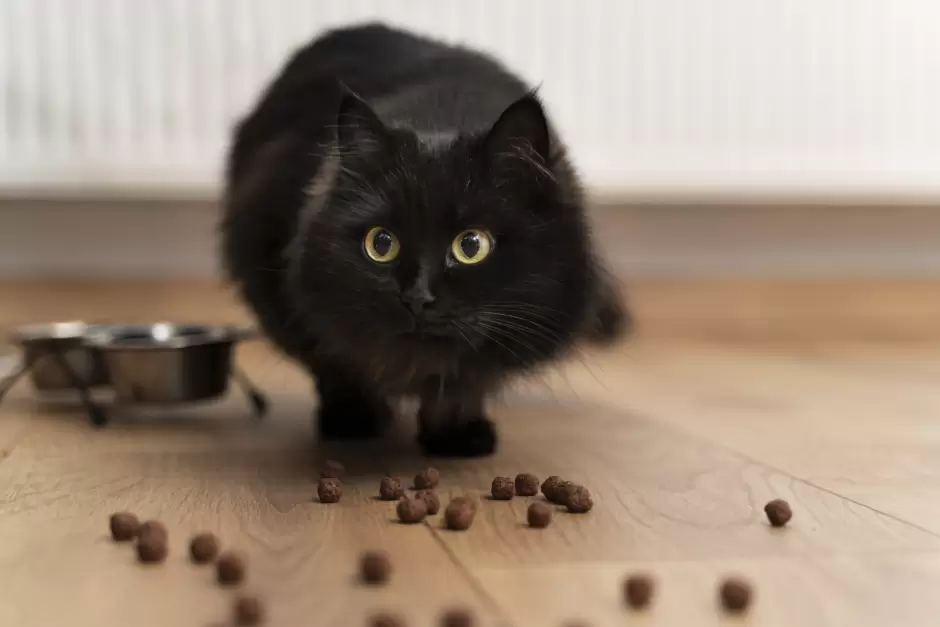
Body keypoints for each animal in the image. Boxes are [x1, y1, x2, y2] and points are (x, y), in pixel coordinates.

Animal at [223, 23, 628, 456]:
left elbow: (463, 380)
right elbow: (336, 362)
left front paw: (456, 433)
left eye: (471, 246)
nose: (417, 297)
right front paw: (354, 418)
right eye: (381, 244)